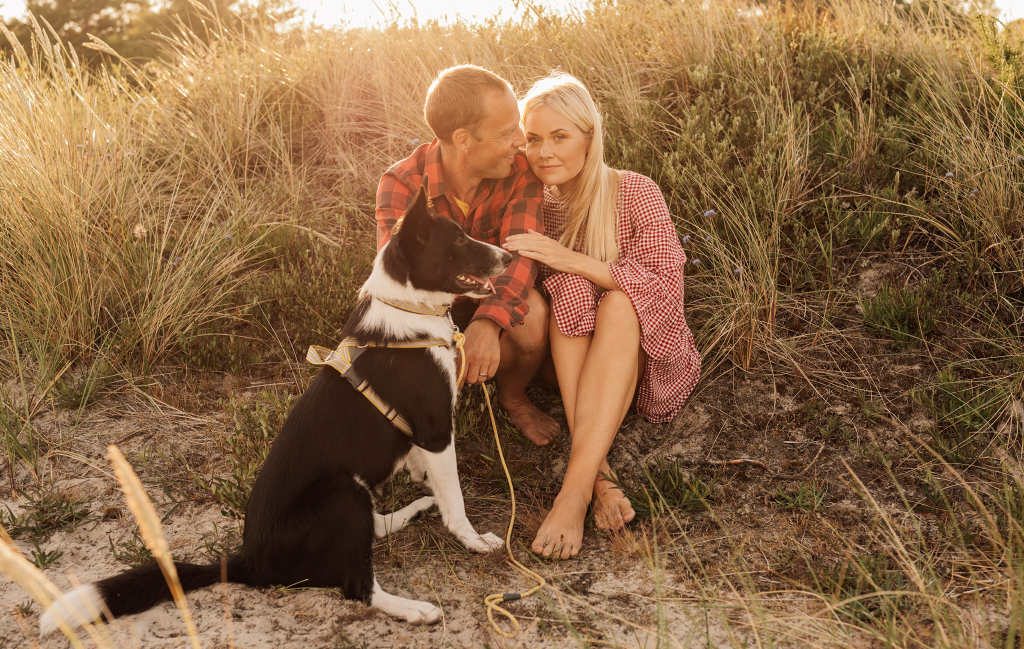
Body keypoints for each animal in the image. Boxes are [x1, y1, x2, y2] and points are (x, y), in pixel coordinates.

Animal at [39, 177, 512, 630]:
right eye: (457, 241)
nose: (508, 257)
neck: (407, 309)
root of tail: (251, 561)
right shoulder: (436, 431)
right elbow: (455, 501)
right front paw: (473, 540)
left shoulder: (422, 439)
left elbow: (432, 480)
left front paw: (428, 493)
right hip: (341, 492)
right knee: (358, 584)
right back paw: (413, 608)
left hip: (355, 496)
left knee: (373, 529)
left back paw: (412, 512)